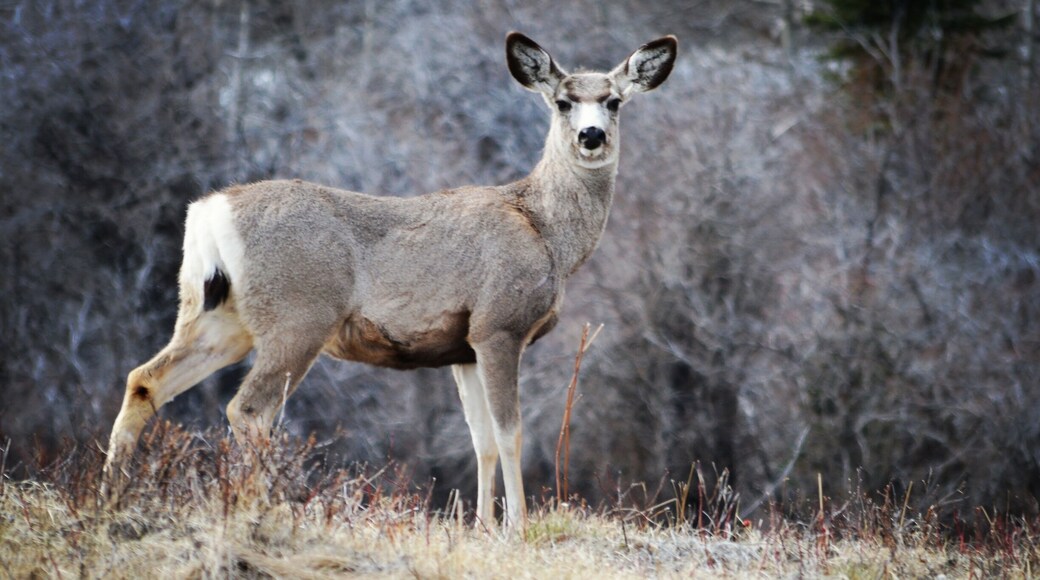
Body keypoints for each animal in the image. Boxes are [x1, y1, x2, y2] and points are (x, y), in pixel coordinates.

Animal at [102, 31, 677, 528]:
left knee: (145, 379)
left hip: (215, 315)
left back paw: (111, 494)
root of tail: (209, 210)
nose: (591, 135)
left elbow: (481, 440)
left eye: (613, 102)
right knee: (247, 409)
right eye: (562, 102)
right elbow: (512, 434)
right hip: (298, 316)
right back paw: (262, 506)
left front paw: (483, 527)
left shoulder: (462, 346)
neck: (546, 232)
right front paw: (517, 528)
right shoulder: (499, 325)